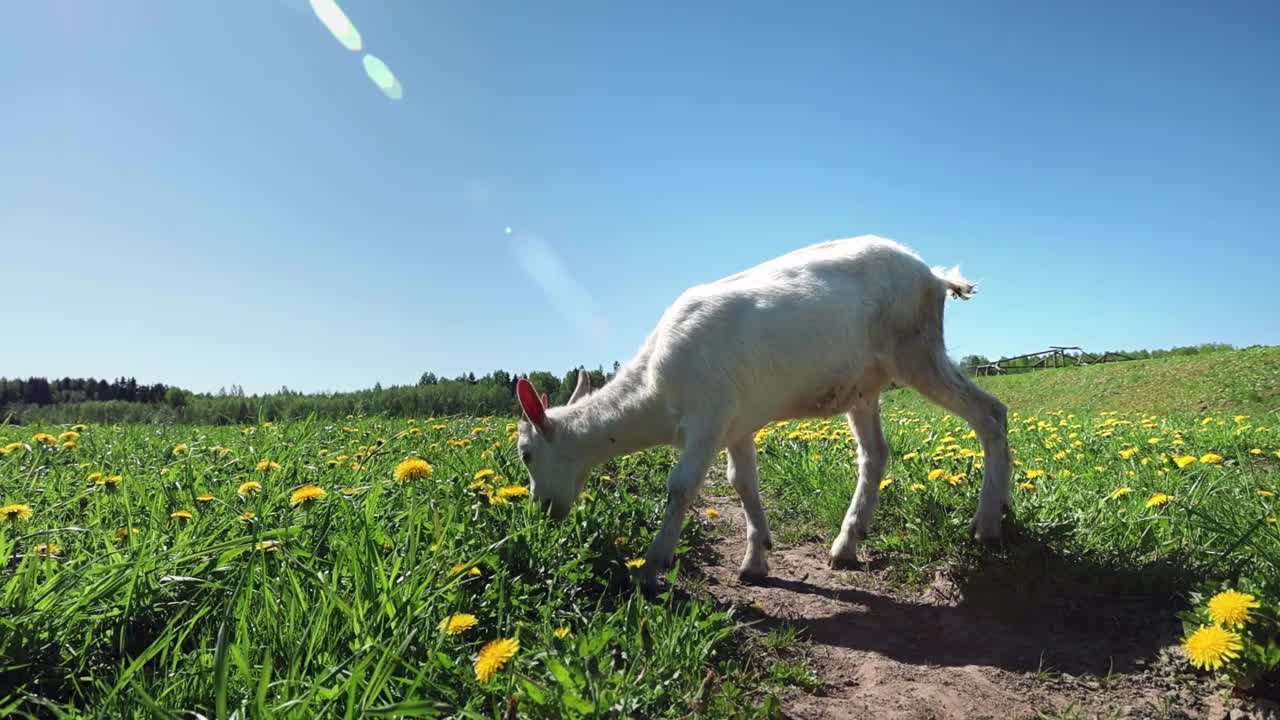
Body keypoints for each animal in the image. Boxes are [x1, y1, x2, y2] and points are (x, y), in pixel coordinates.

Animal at [514, 233, 1003, 586]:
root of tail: (932, 276)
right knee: (875, 453)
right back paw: (846, 544)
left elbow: (681, 486)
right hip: (867, 386)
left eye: (526, 454)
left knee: (991, 413)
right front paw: (755, 560)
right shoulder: (737, 425)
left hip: (916, 349)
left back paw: (987, 524)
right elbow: (742, 482)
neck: (655, 387)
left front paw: (651, 568)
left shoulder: (708, 417)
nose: (542, 512)